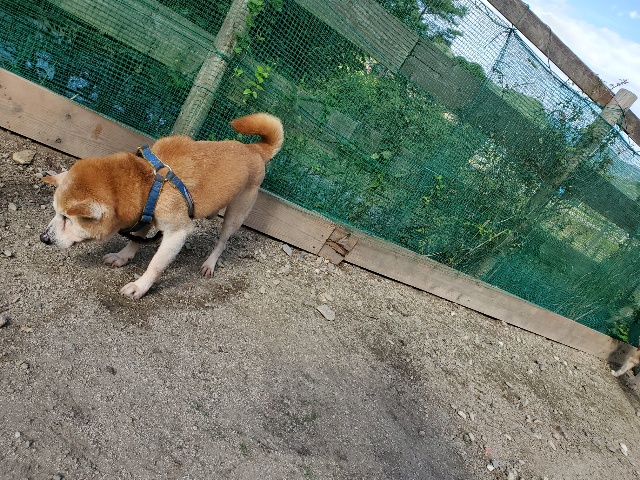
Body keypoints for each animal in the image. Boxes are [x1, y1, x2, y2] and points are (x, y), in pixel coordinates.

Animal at [40, 112, 284, 299]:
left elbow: (155, 265)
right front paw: (123, 256)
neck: (148, 179)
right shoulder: (146, 212)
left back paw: (210, 263)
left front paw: (140, 287)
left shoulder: (177, 233)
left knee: (222, 242)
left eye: (67, 218)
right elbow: (136, 239)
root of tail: (255, 150)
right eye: (56, 213)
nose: (43, 238)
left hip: (236, 215)